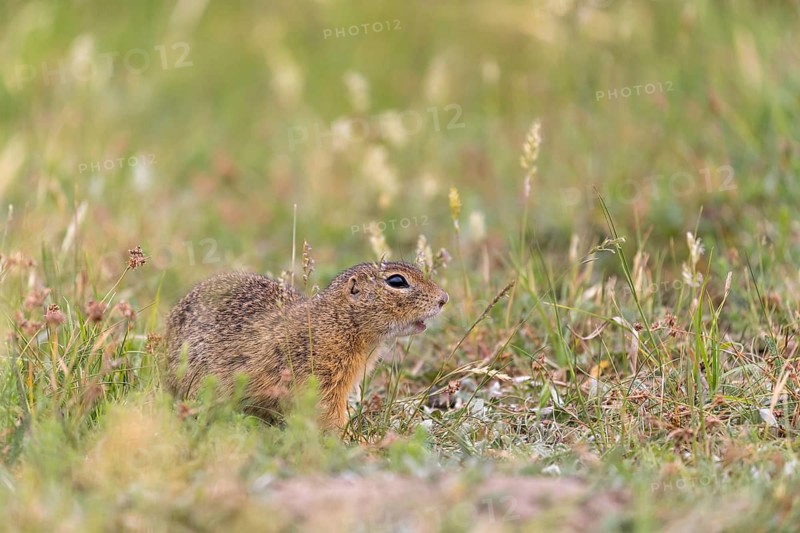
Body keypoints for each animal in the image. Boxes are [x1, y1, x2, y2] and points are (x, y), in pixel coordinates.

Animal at [165, 261, 448, 430]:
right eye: (397, 282)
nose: (444, 298)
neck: (336, 321)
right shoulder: (320, 378)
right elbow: (328, 412)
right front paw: (348, 439)